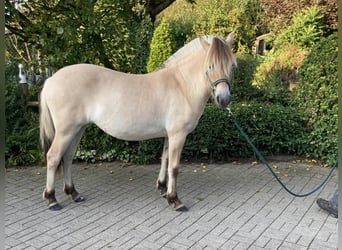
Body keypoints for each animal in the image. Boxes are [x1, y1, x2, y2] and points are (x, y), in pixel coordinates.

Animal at [40, 32, 236, 211]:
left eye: (232, 66)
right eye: (210, 66)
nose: (224, 99)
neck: (181, 85)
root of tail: (51, 79)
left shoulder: (169, 135)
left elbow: (164, 159)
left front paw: (163, 189)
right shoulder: (178, 135)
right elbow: (174, 167)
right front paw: (175, 200)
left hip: (77, 129)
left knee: (67, 158)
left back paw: (74, 193)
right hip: (66, 131)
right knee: (53, 157)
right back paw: (52, 199)